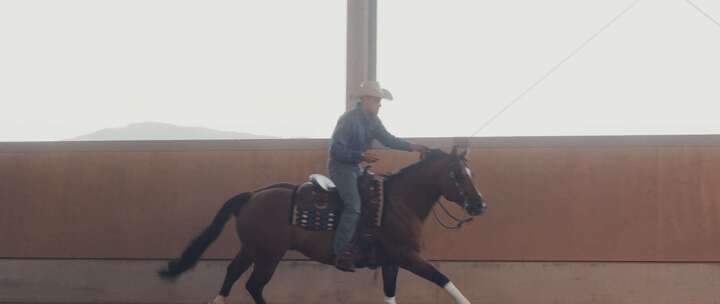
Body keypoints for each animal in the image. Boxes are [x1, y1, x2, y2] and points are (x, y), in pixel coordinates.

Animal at [158, 146, 484, 302]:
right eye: (457, 174)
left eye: (470, 172)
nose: (480, 204)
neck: (398, 203)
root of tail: (252, 195)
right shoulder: (407, 257)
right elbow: (444, 280)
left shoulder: (391, 262)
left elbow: (390, 295)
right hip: (269, 254)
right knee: (253, 285)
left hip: (251, 250)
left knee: (231, 276)